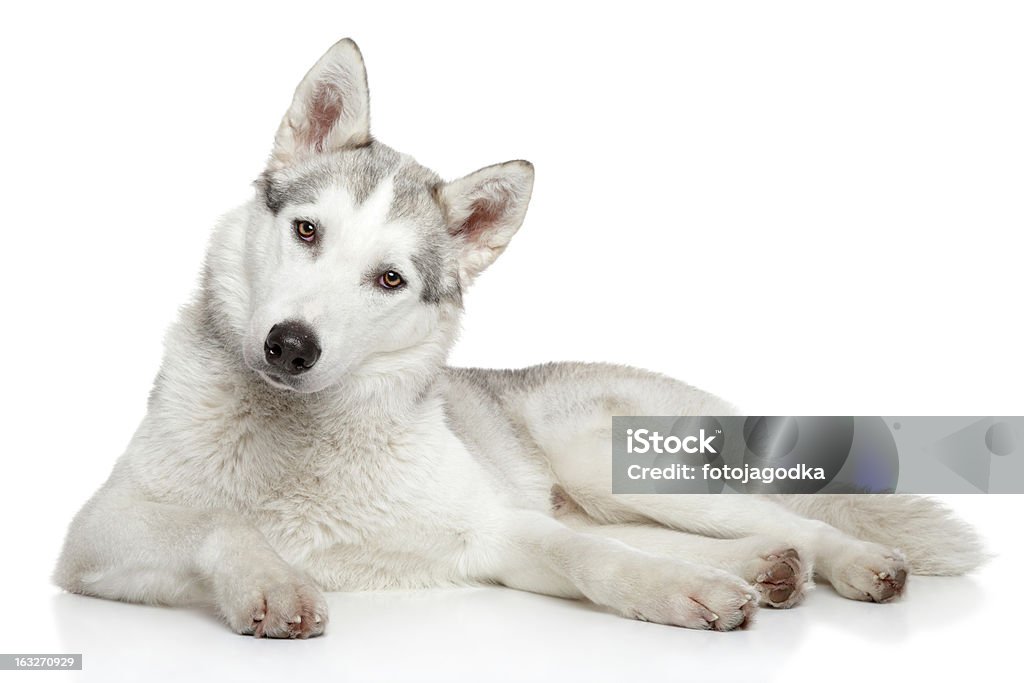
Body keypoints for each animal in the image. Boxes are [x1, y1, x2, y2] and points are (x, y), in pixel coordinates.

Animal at [54, 36, 983, 634]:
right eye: (308, 231)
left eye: (389, 279)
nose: (290, 345)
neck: (308, 441)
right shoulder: (94, 535)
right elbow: (219, 525)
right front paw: (273, 581)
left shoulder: (498, 532)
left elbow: (594, 560)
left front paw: (675, 591)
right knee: (726, 529)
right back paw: (767, 566)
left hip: (613, 466)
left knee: (784, 519)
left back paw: (843, 562)